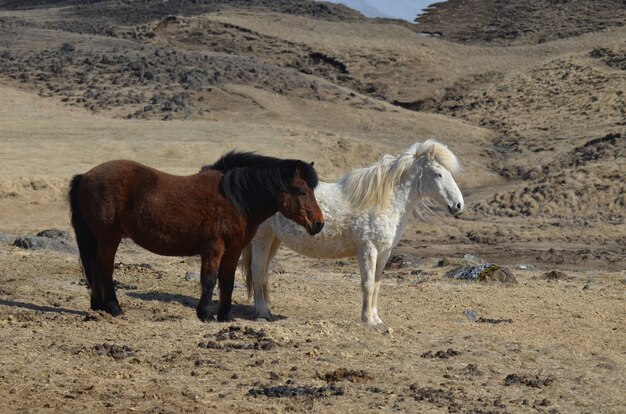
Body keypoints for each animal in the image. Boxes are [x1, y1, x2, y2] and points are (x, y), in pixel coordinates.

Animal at [67, 150, 322, 322]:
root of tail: (85, 177)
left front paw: (225, 316)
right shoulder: (213, 247)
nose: (318, 224)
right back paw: (114, 307)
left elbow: (227, 282)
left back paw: (98, 306)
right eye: (301, 190)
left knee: (95, 267)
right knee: (104, 268)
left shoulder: (233, 250)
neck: (234, 198)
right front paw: (205, 314)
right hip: (108, 237)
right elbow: (208, 280)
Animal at [241, 141, 460, 326]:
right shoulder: (368, 249)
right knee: (257, 271)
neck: (383, 200)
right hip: (262, 238)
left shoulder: (384, 252)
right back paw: (263, 313)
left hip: (274, 240)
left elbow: (377, 284)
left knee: (262, 272)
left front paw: (376, 318)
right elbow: (367, 284)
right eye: (438, 174)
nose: (458, 205)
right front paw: (368, 320)